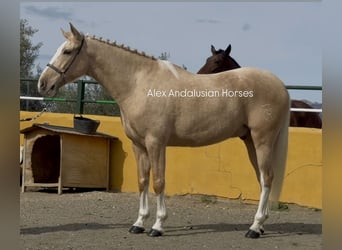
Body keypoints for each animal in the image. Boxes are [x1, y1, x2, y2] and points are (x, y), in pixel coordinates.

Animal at [38, 23, 288, 238]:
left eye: (68, 51)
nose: (43, 84)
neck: (139, 83)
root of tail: (279, 84)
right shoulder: (138, 145)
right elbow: (142, 181)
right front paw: (139, 223)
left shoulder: (155, 142)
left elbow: (158, 181)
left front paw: (157, 225)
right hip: (250, 140)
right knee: (262, 178)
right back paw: (260, 225)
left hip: (262, 140)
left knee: (267, 178)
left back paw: (254, 228)